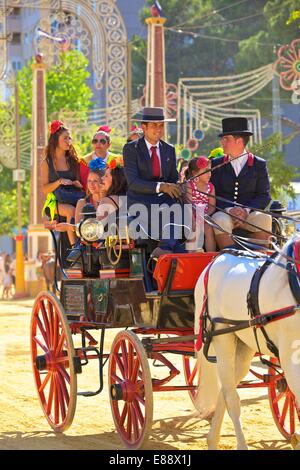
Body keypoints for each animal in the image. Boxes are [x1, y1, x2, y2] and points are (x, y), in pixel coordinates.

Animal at [193, 237, 298, 450]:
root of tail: (214, 261)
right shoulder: (291, 356)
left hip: (243, 347)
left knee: (227, 388)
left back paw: (212, 439)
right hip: (221, 338)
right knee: (232, 398)